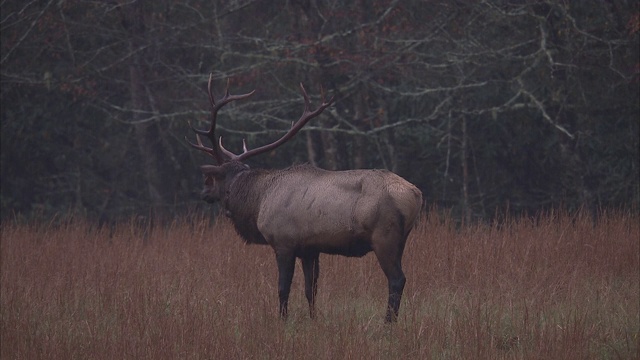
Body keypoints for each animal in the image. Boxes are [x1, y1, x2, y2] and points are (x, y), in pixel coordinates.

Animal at [188, 74, 422, 322]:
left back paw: (388, 322)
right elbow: (311, 289)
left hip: (384, 236)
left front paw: (282, 320)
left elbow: (283, 288)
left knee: (397, 279)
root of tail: (416, 194)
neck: (258, 201)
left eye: (211, 179)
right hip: (402, 239)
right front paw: (313, 319)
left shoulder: (283, 243)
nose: (203, 193)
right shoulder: (310, 249)